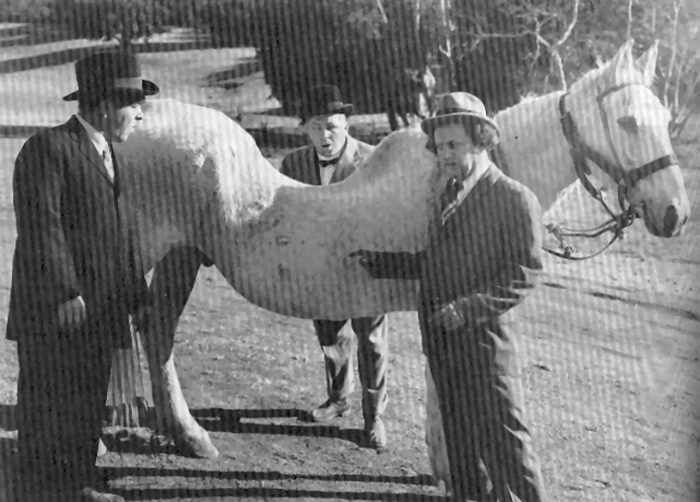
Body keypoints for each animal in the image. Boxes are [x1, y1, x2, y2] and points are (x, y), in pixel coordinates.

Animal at [110, 39, 688, 469]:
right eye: (629, 121)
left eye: (663, 116)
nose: (675, 214)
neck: (474, 175)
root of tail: (132, 123)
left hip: (179, 257)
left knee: (153, 330)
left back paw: (177, 434)